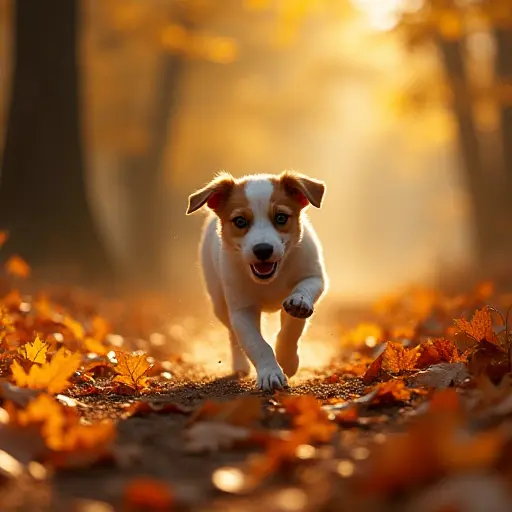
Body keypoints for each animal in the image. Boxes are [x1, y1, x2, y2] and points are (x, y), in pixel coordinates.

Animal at [186, 170, 326, 390]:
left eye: (281, 217)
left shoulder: (314, 276)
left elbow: (292, 326)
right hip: (219, 303)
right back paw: (240, 365)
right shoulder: (242, 311)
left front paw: (287, 359)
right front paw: (270, 373)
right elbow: (257, 344)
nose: (263, 249)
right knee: (233, 336)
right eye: (240, 221)